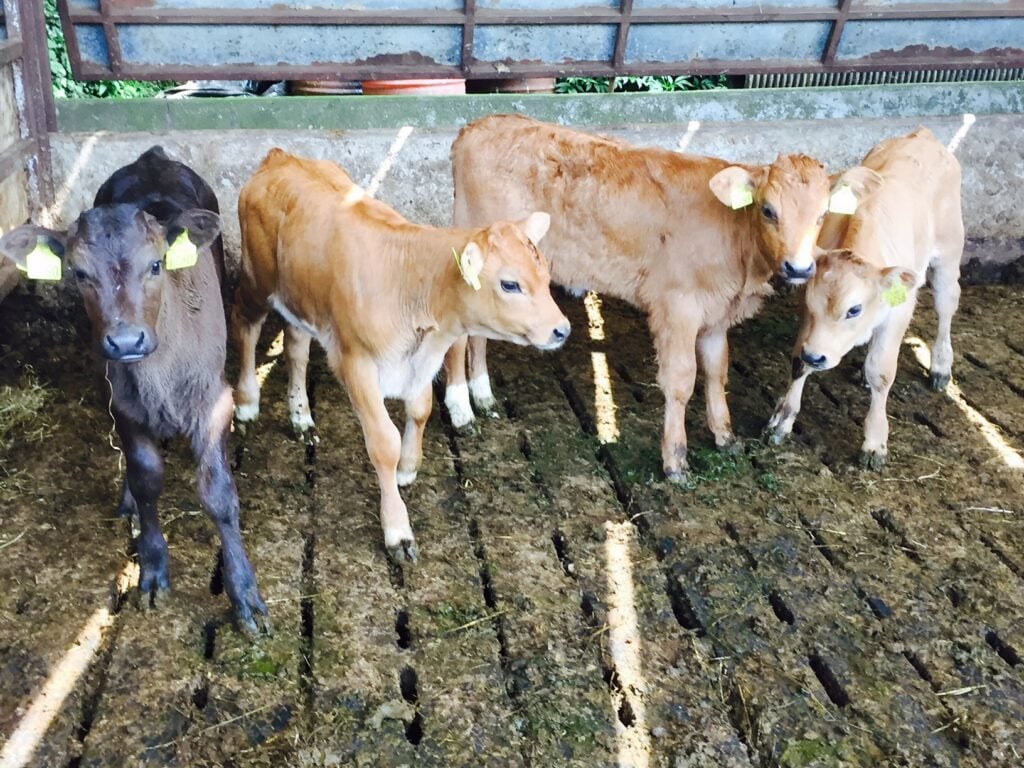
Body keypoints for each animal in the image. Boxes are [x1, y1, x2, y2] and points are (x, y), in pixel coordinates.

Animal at [0, 147, 268, 632]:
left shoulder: (213, 401)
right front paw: (153, 567)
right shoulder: (123, 404)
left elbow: (219, 495)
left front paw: (244, 594)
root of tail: (152, 156)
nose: (125, 341)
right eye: (79, 272)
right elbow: (146, 479)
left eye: (157, 264)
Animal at [232, 148, 569, 562]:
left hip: (301, 299)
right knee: (244, 323)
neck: (413, 284)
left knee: (296, 347)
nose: (562, 329)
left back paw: (301, 417)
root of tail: (281, 157)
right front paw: (397, 529)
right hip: (257, 277)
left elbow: (421, 409)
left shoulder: (421, 361)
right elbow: (383, 443)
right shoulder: (356, 362)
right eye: (509, 284)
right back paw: (247, 402)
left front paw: (409, 467)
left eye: (545, 275)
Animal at [441, 114, 867, 485]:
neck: (734, 239)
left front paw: (725, 437)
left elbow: (717, 372)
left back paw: (483, 396)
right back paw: (462, 411)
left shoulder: (716, 314)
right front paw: (675, 461)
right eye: (768, 210)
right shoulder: (677, 306)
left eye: (821, 215)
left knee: (478, 334)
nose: (799, 268)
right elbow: (681, 380)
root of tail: (476, 127)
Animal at [766, 127, 963, 468]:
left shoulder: (899, 311)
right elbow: (798, 363)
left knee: (947, 304)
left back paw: (940, 365)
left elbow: (882, 372)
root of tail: (923, 135)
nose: (816, 357)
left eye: (854, 309)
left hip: (949, 253)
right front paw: (782, 419)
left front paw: (874, 442)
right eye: (810, 301)